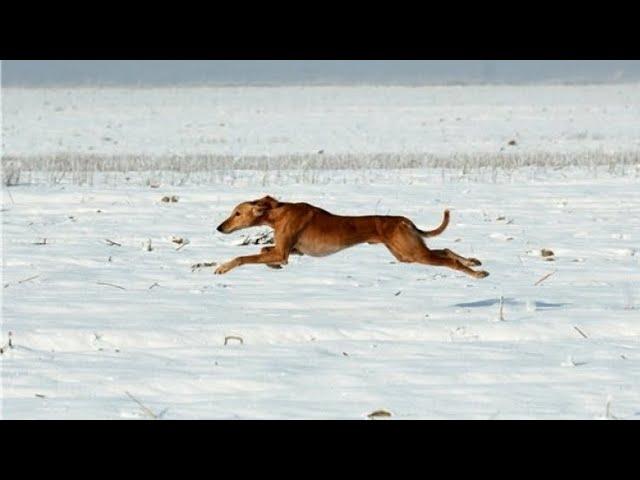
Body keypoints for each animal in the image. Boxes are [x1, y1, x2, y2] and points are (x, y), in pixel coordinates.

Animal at [212, 195, 488, 278]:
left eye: (237, 213)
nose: (219, 228)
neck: (278, 212)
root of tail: (402, 220)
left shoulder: (284, 250)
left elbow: (243, 257)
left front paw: (223, 267)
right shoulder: (289, 251)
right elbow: (263, 251)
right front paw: (273, 266)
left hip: (413, 252)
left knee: (447, 259)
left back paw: (476, 273)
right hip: (407, 254)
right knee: (445, 251)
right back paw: (474, 262)